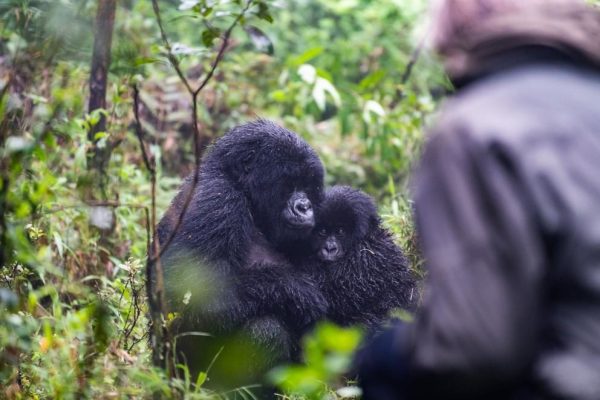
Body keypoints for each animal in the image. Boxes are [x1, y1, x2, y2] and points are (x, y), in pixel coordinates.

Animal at [152, 120, 326, 390]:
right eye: (289, 183)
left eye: (309, 185)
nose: (304, 207)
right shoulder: (217, 201)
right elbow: (185, 297)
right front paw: (297, 290)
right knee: (267, 330)